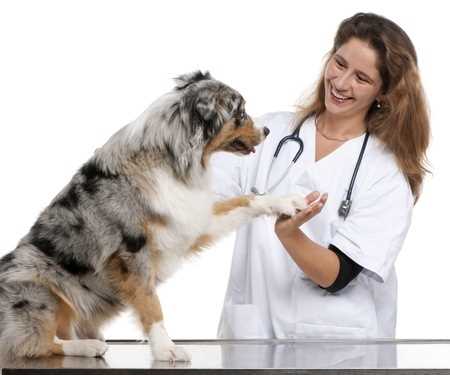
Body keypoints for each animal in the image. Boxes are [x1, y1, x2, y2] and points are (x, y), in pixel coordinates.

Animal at [0, 70, 306, 362]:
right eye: (240, 112)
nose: (267, 130)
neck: (170, 158)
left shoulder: (193, 221)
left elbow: (246, 200)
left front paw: (286, 201)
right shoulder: (132, 250)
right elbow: (151, 303)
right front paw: (166, 349)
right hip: (38, 285)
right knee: (35, 343)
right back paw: (87, 346)